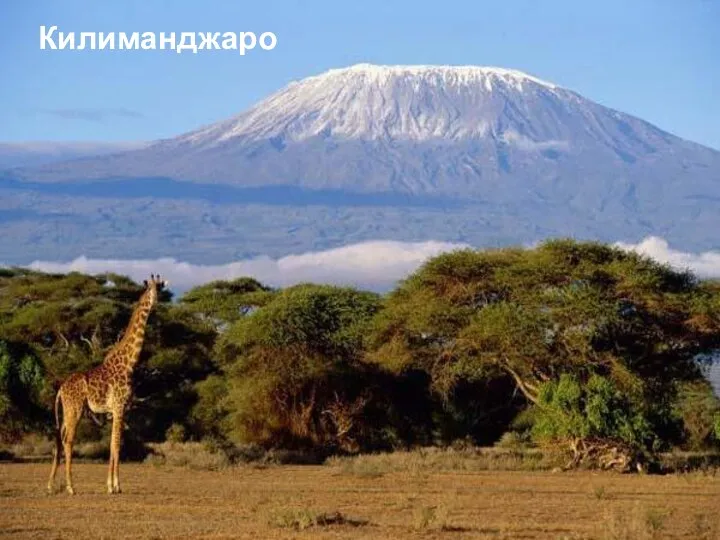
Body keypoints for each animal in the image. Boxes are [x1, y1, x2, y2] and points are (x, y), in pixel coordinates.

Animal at [46, 274, 169, 494]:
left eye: (160, 289)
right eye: (149, 290)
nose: (155, 301)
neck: (129, 364)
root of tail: (61, 389)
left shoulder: (118, 410)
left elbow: (112, 444)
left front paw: (110, 485)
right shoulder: (119, 406)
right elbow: (117, 445)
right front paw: (115, 486)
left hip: (67, 411)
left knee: (59, 438)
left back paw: (51, 485)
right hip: (75, 409)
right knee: (68, 440)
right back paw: (70, 487)